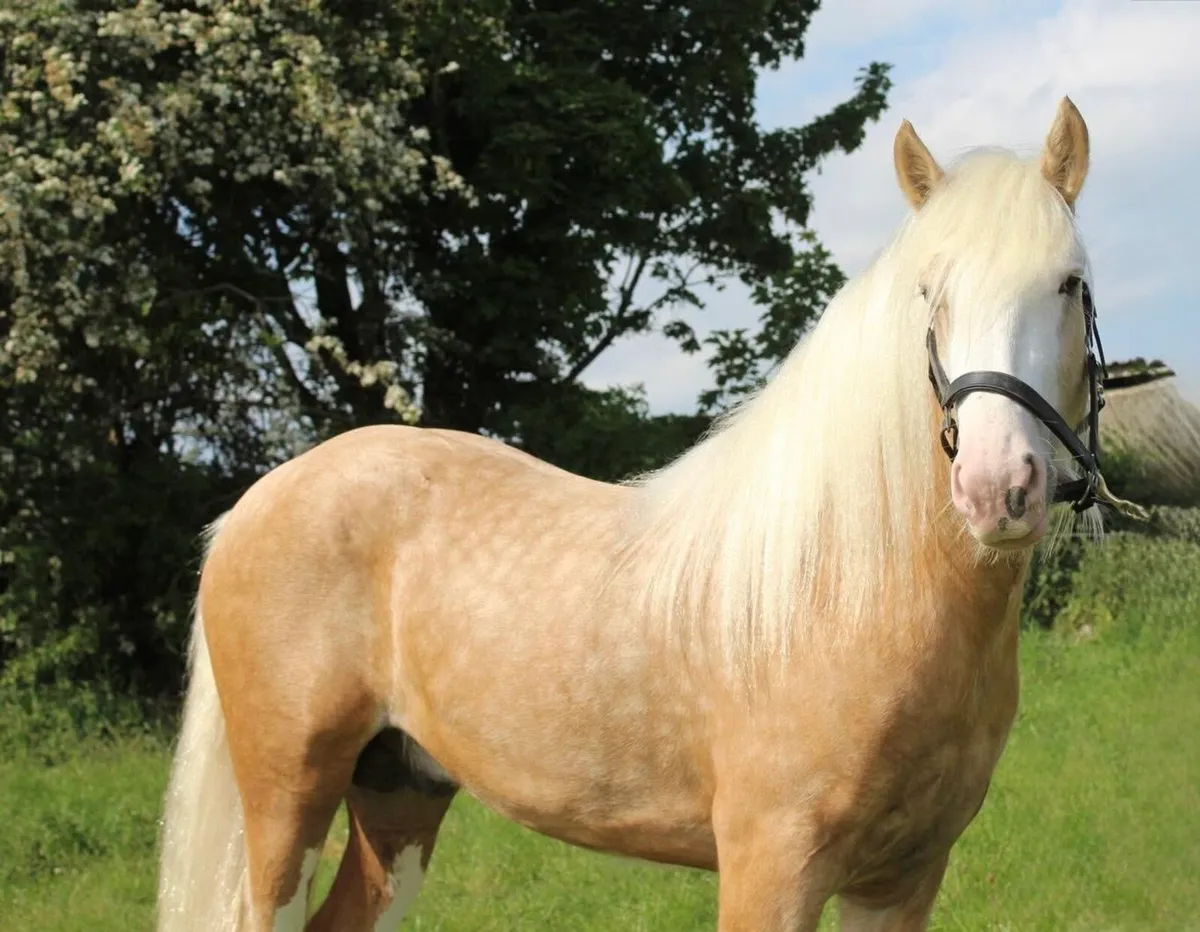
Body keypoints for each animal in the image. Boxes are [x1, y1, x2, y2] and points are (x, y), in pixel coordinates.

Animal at [156, 96, 1145, 931]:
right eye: (930, 292)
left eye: (1070, 284)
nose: (995, 488)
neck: (847, 592)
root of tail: (258, 502)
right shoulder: (771, 869)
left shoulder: (903, 878)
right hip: (287, 796)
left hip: (399, 791)